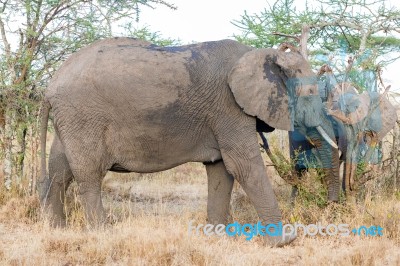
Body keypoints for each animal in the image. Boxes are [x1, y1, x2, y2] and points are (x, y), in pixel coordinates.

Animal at [39, 36, 340, 246]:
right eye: (310, 92)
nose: (331, 206)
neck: (261, 54)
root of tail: (50, 85)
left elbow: (221, 169)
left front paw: (218, 237)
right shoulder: (228, 107)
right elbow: (243, 164)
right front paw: (284, 241)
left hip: (71, 119)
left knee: (59, 170)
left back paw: (57, 229)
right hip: (83, 116)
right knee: (89, 174)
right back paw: (103, 232)